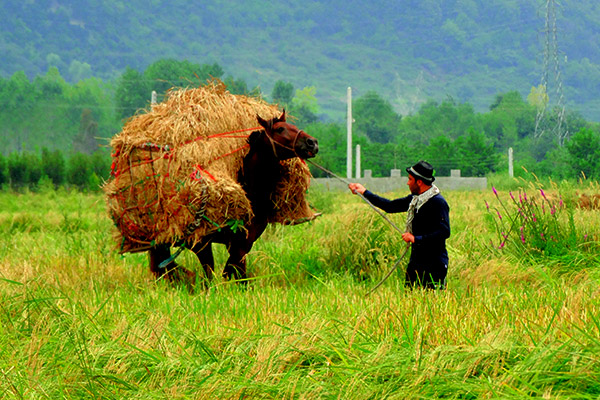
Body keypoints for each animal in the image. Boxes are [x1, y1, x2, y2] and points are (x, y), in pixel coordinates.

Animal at [148, 111, 318, 282]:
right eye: (280, 129)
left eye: (292, 125)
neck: (250, 194)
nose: (312, 142)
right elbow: (211, 277)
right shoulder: (202, 244)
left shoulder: (242, 245)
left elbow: (235, 275)